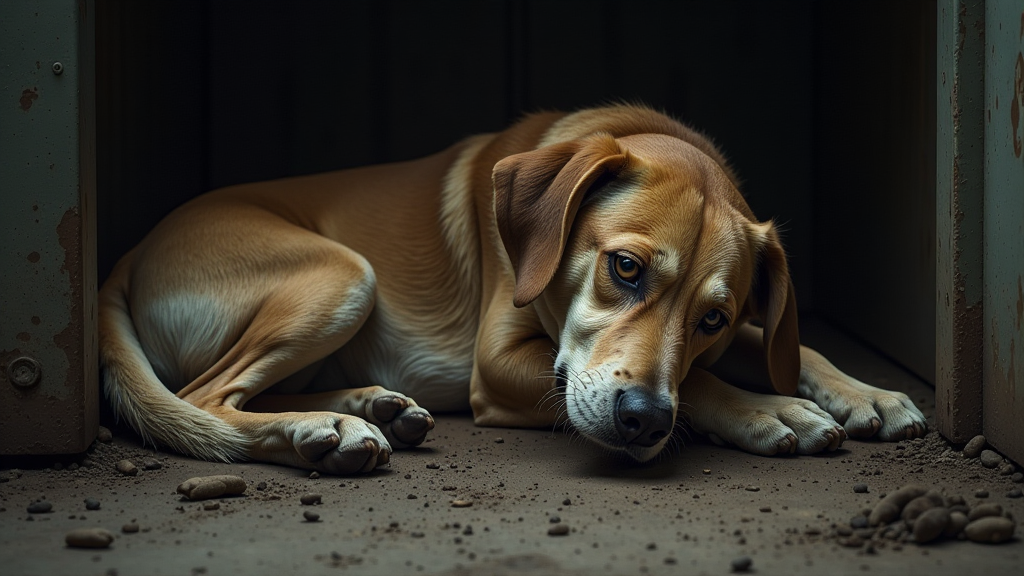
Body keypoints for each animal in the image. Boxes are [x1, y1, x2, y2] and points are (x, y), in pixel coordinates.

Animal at [97, 105, 929, 473]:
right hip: (343, 275)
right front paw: (767, 411)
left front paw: (869, 394)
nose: (640, 421)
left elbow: (793, 348)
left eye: (715, 319)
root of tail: (126, 257)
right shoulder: (497, 365)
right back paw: (322, 430)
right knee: (206, 397)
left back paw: (369, 410)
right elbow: (700, 387)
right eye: (625, 268)